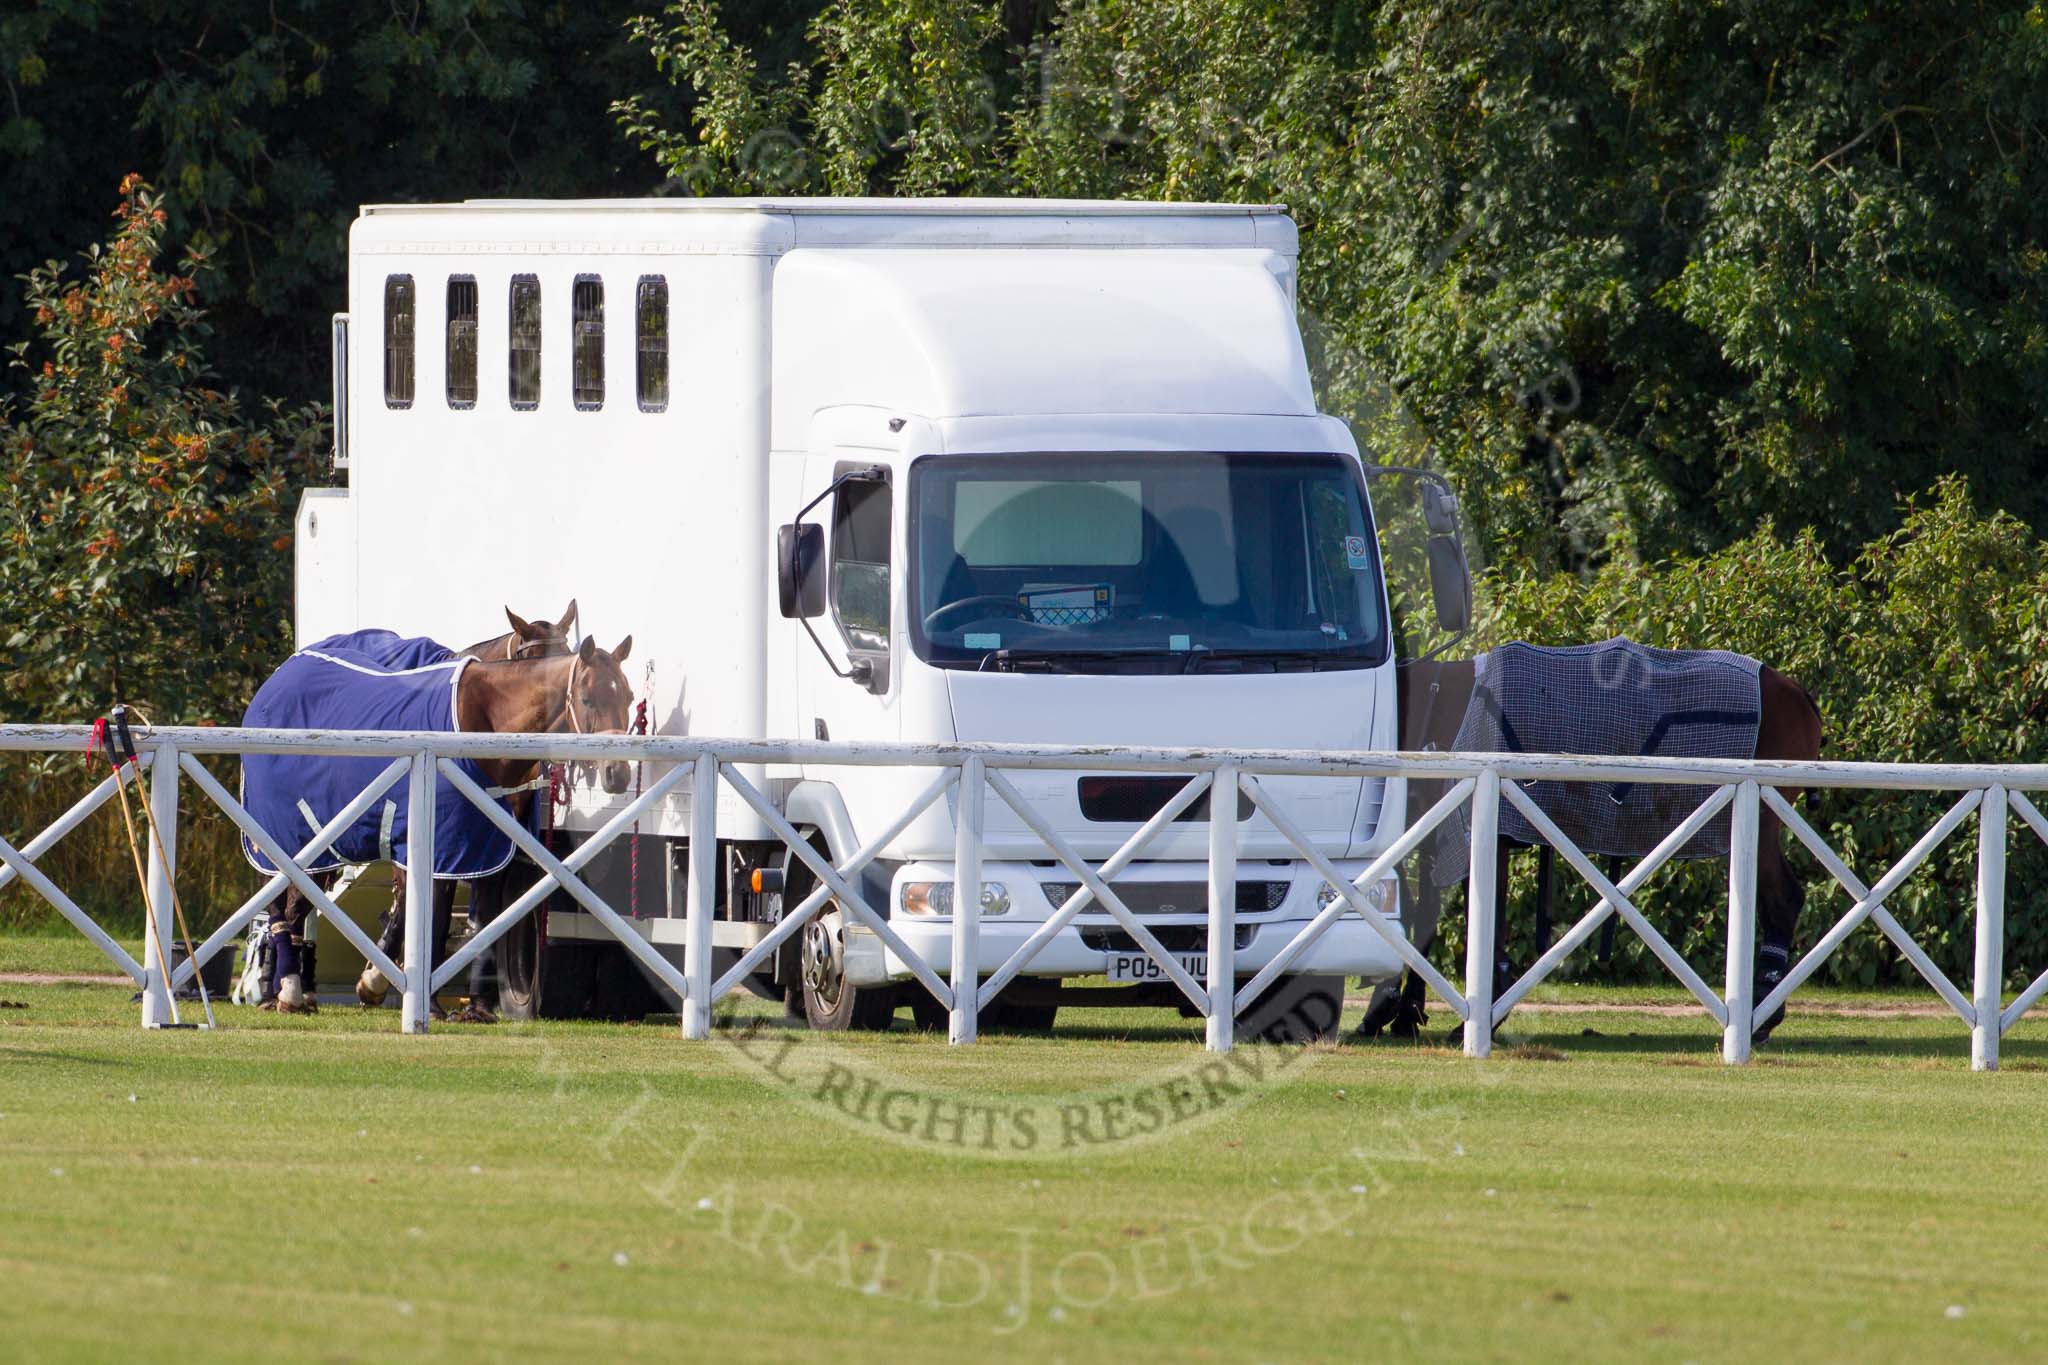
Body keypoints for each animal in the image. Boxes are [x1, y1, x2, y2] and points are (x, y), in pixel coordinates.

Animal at [1376, 650, 1826, 1047]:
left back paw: (1761, 1013)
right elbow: (1424, 911)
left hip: (1763, 810)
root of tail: (1796, 691)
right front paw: (1402, 1009)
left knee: (1782, 899)